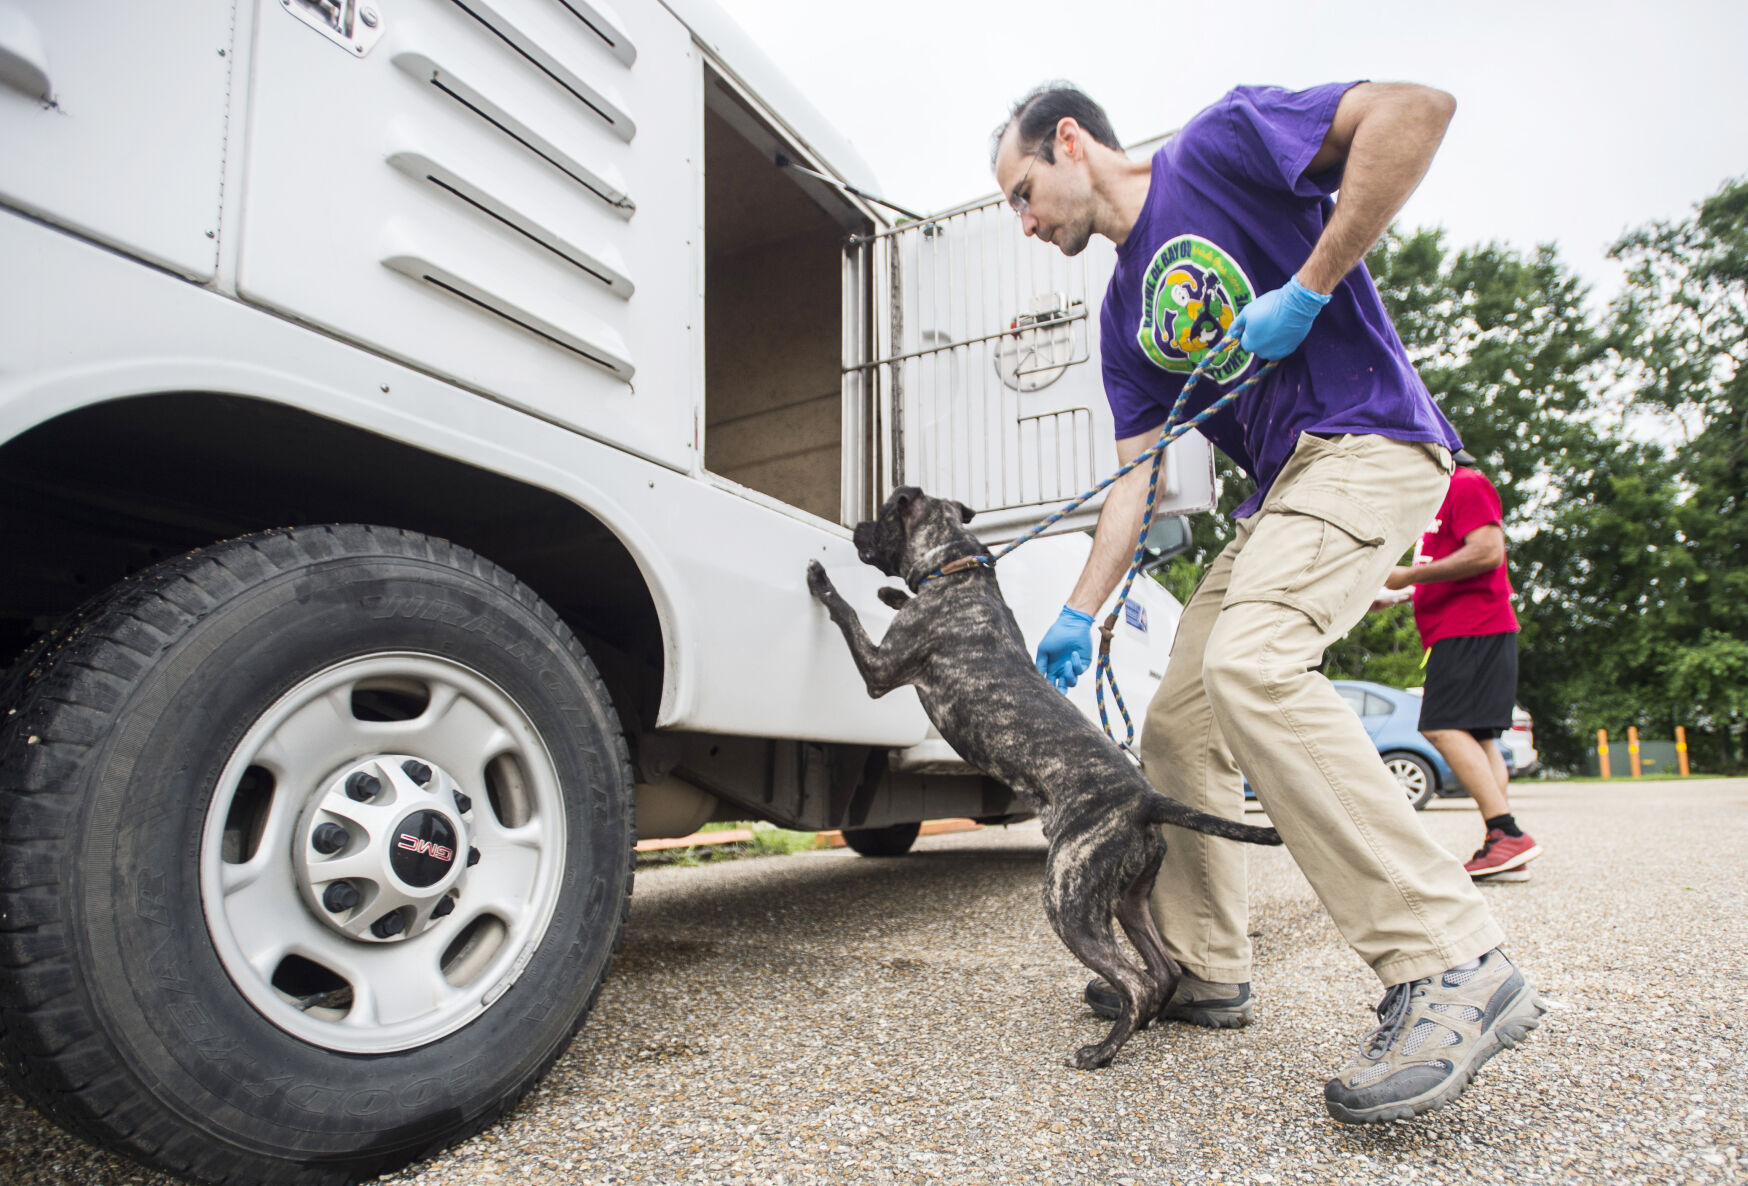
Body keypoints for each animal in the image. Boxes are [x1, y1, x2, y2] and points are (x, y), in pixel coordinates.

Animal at [807, 486, 1286, 1070]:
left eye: (881, 517)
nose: (856, 527)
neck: (958, 571)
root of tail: (1146, 799)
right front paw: (889, 592)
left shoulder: (879, 668)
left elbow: (847, 614)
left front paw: (824, 582)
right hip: (1127, 898)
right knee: (1163, 969)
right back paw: (1142, 1024)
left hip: (1068, 898)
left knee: (1134, 979)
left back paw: (1102, 1052)